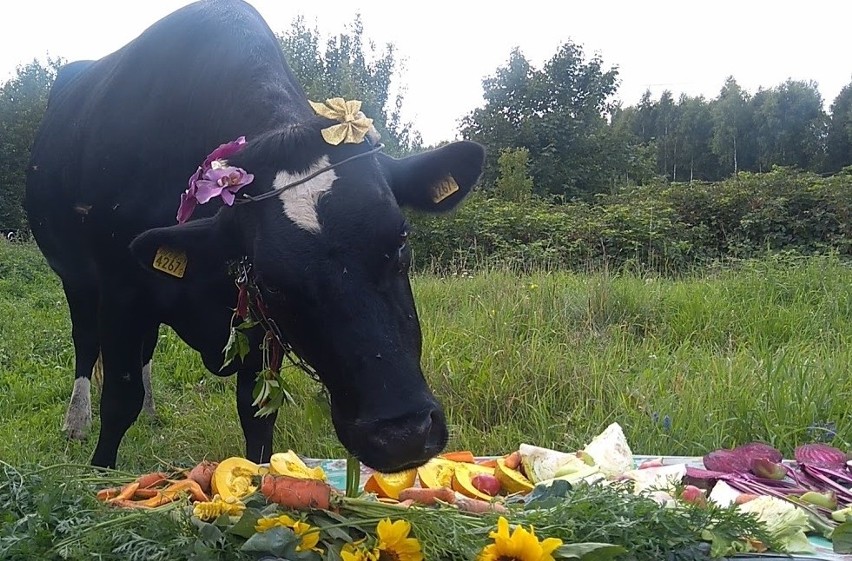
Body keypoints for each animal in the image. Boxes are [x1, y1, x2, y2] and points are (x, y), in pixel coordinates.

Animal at [26, 0, 482, 472]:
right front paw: (99, 475)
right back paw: (77, 420)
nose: (403, 434)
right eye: (271, 278)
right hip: (76, 277)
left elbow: (256, 412)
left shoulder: (258, 327)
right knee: (85, 342)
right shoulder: (122, 289)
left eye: (400, 241)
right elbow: (119, 397)